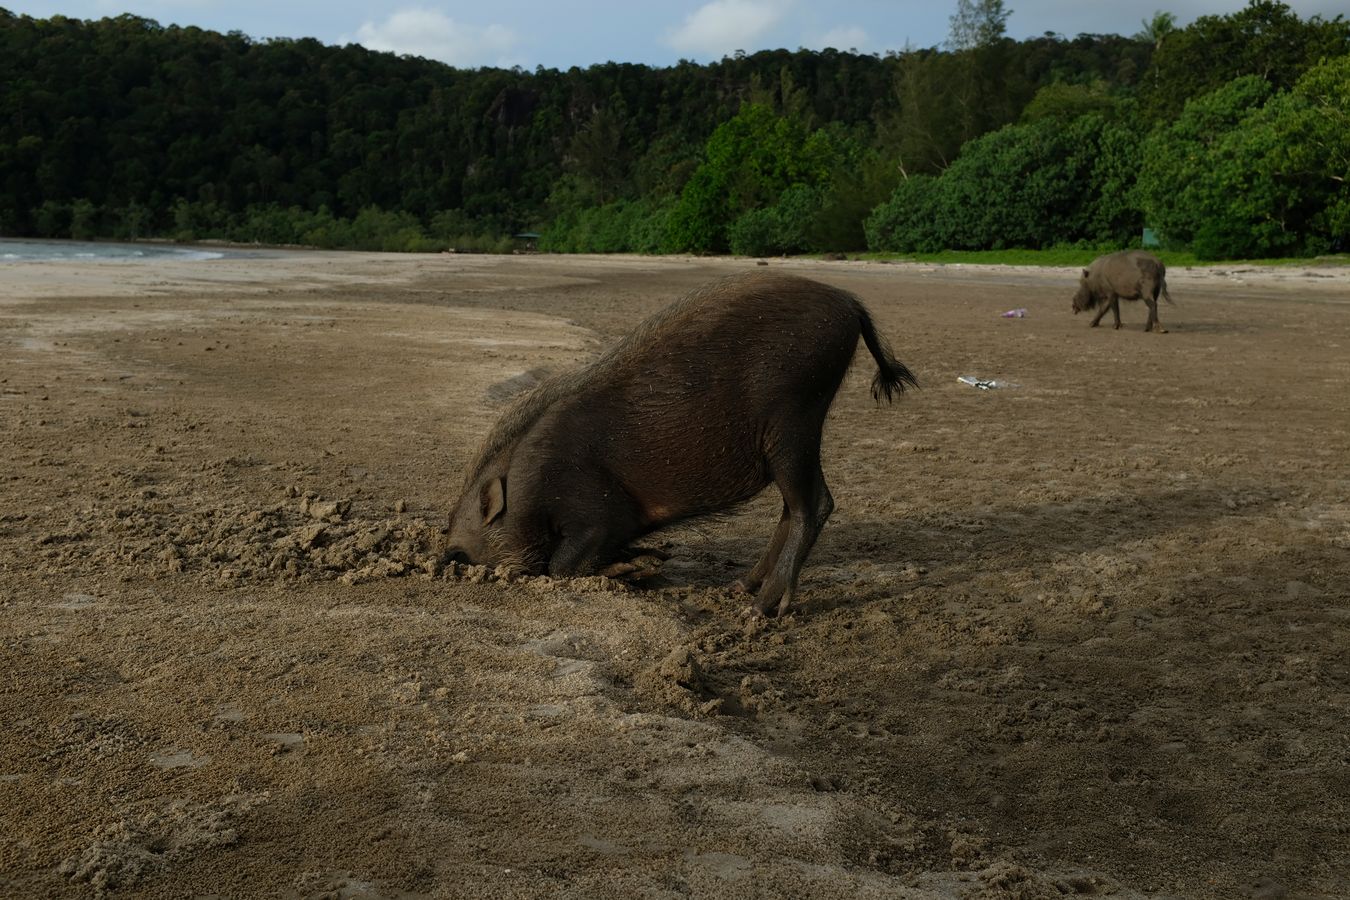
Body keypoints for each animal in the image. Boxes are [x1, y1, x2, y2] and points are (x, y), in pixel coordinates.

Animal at [442, 271, 918, 615]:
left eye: (463, 553)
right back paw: (738, 588)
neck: (529, 489)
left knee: (814, 505)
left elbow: (561, 566)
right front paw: (653, 559)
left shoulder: (597, 514)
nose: (446, 556)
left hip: (795, 421)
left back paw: (759, 610)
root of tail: (849, 302)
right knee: (792, 508)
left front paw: (641, 566)